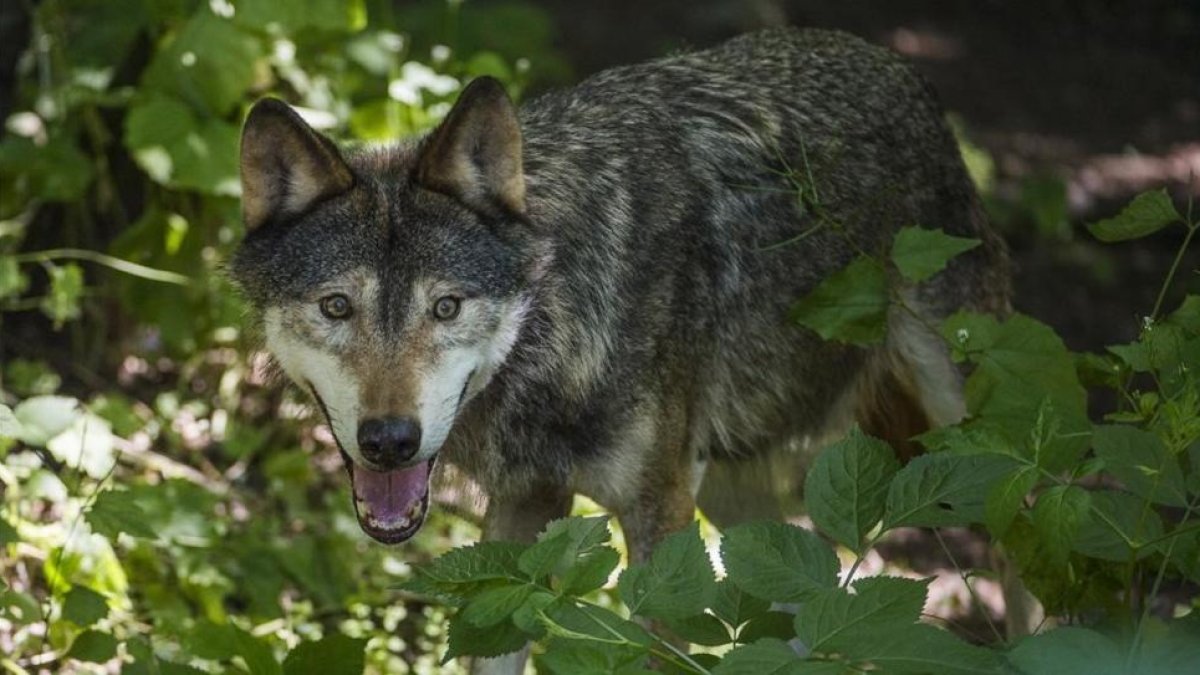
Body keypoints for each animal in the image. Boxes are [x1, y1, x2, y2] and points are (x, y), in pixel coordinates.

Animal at [232, 26, 1010, 667]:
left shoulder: (660, 527)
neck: (558, 329)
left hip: (967, 431)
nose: (390, 441)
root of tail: (888, 61)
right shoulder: (522, 514)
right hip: (731, 495)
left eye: (445, 306)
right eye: (337, 306)